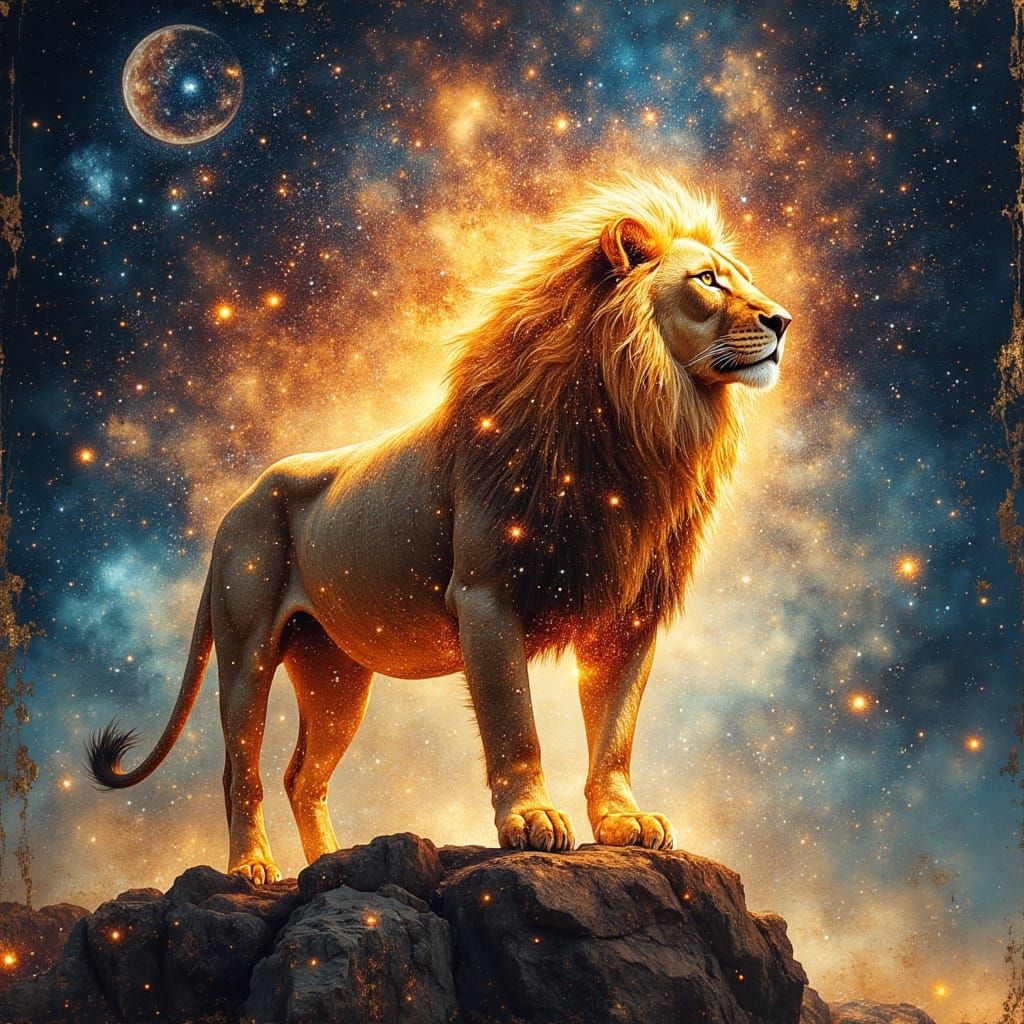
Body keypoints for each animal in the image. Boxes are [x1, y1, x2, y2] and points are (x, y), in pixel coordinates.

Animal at [87, 173, 792, 884]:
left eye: (743, 278)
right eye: (708, 280)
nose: (783, 320)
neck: (641, 424)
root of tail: (236, 505)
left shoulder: (630, 614)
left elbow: (615, 731)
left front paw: (624, 822)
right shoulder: (486, 596)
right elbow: (515, 724)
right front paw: (532, 820)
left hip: (336, 676)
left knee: (302, 776)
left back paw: (332, 864)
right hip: (246, 647)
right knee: (241, 770)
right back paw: (252, 867)